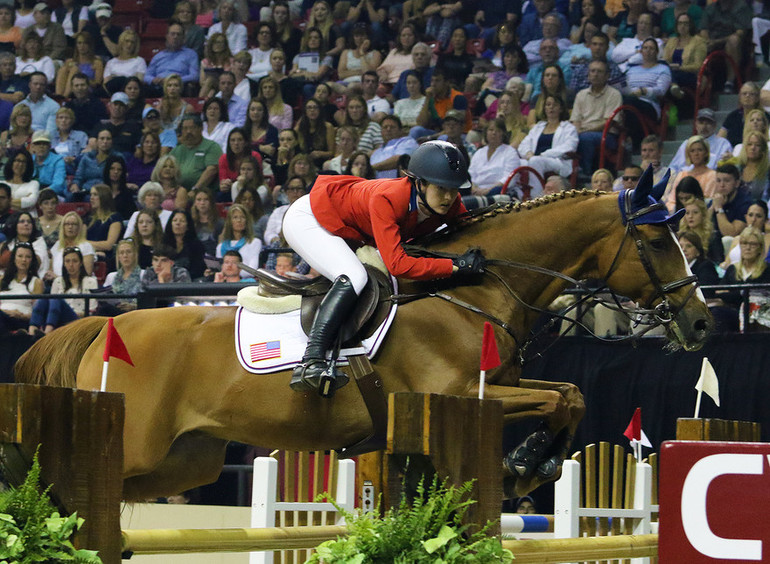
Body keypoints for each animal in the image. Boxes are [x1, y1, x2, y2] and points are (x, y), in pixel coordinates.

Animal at [13, 172, 708, 498]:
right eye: (654, 240)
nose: (701, 321)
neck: (472, 293)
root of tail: (103, 324)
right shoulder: (460, 398)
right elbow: (560, 399)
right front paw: (522, 464)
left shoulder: (503, 385)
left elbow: (571, 395)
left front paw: (529, 465)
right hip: (136, 445)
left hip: (184, 459)